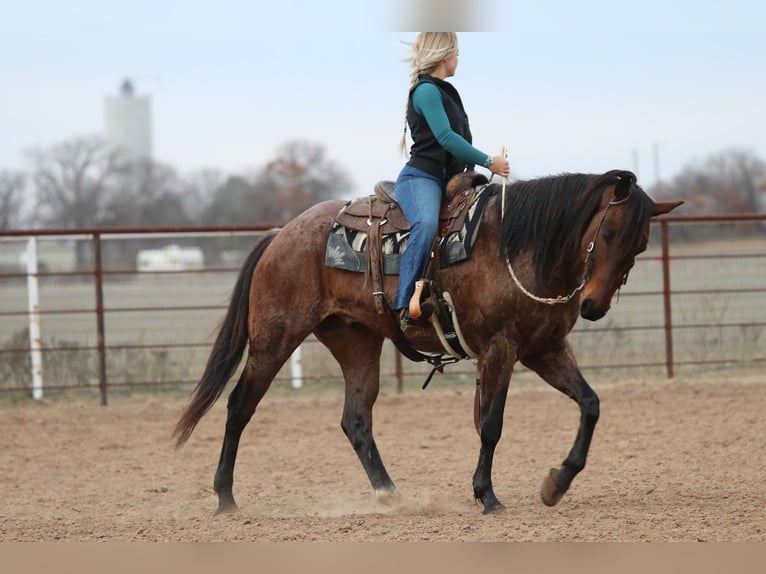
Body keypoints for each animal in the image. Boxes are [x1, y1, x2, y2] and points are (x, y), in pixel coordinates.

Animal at [173, 169, 682, 515]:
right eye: (608, 232)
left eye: (640, 243)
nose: (594, 306)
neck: (520, 246)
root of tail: (282, 234)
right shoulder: (500, 350)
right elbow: (491, 425)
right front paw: (487, 496)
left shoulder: (545, 349)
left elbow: (590, 404)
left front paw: (556, 483)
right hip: (274, 339)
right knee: (240, 406)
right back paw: (225, 498)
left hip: (356, 342)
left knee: (355, 419)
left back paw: (392, 496)